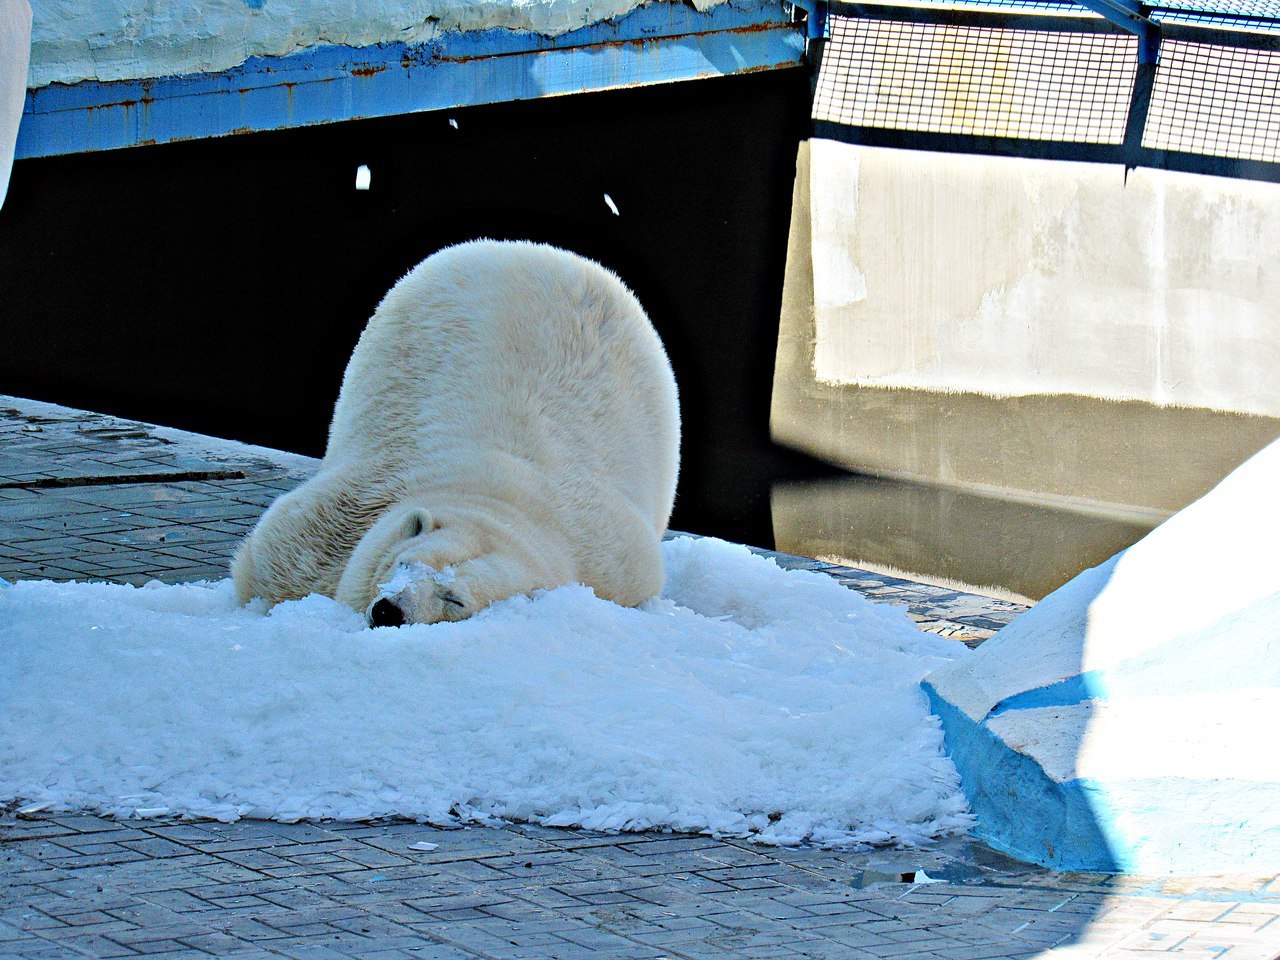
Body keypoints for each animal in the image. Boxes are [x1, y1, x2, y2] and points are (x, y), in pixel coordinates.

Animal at [235, 240, 686, 627]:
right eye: (406, 563)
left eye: (454, 599)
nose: (389, 611)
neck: (495, 499)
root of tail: (537, 249)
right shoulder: (349, 513)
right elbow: (275, 560)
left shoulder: (614, 570)